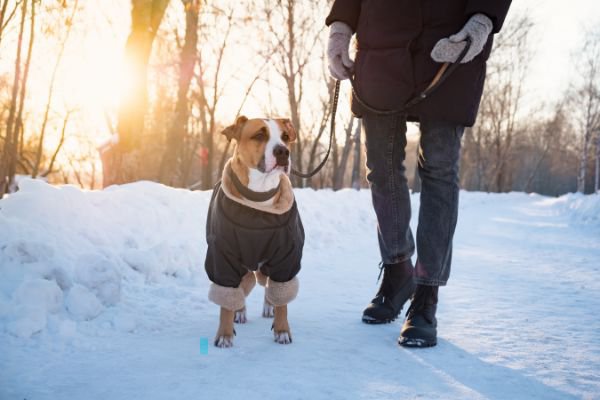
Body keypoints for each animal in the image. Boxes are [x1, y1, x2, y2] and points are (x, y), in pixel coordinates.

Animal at [204, 115, 304, 346]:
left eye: (286, 136)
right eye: (259, 135)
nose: (283, 151)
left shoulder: (286, 256)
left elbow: (282, 298)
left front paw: (282, 330)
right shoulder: (222, 256)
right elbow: (226, 298)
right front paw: (224, 333)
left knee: (269, 287)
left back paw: (269, 307)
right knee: (241, 288)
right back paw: (239, 311)